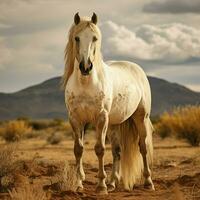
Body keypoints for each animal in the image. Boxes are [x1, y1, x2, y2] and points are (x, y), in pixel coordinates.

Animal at [62, 12, 155, 194]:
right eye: (76, 38)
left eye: (95, 38)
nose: (85, 67)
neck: (86, 84)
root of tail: (136, 68)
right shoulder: (75, 119)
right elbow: (78, 149)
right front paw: (79, 184)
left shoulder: (101, 118)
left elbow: (99, 149)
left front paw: (101, 186)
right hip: (114, 124)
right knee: (117, 151)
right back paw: (112, 183)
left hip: (140, 118)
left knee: (143, 147)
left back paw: (148, 182)